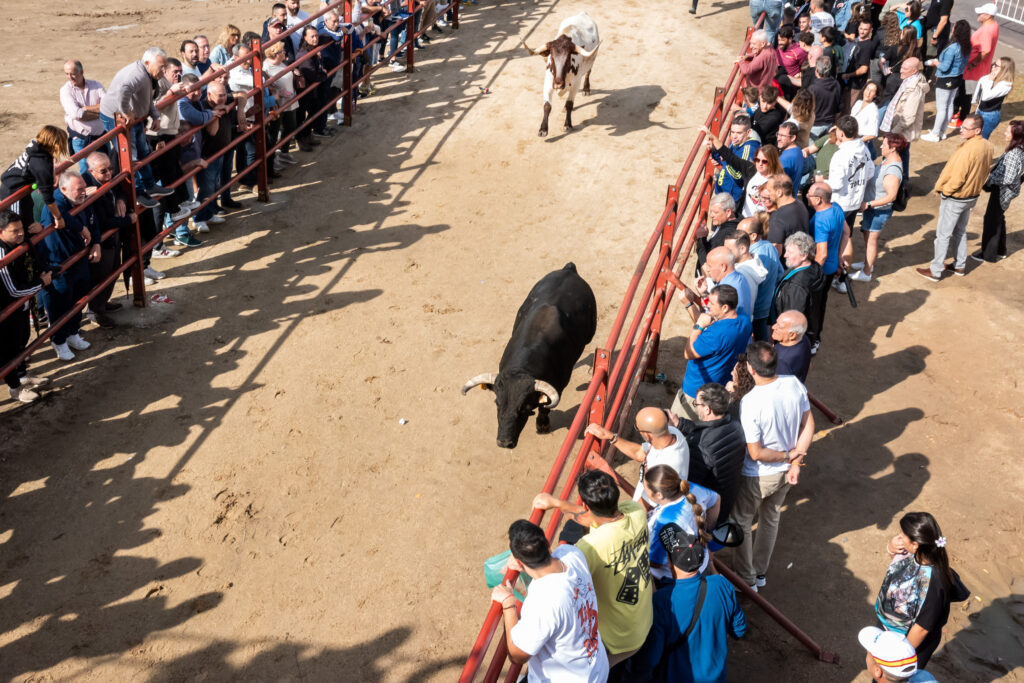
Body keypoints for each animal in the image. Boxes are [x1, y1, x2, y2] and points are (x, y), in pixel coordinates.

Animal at [462, 264, 598, 450]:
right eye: (497, 403)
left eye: (525, 408)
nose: (504, 442)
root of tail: (568, 269)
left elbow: (544, 407)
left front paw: (542, 425)